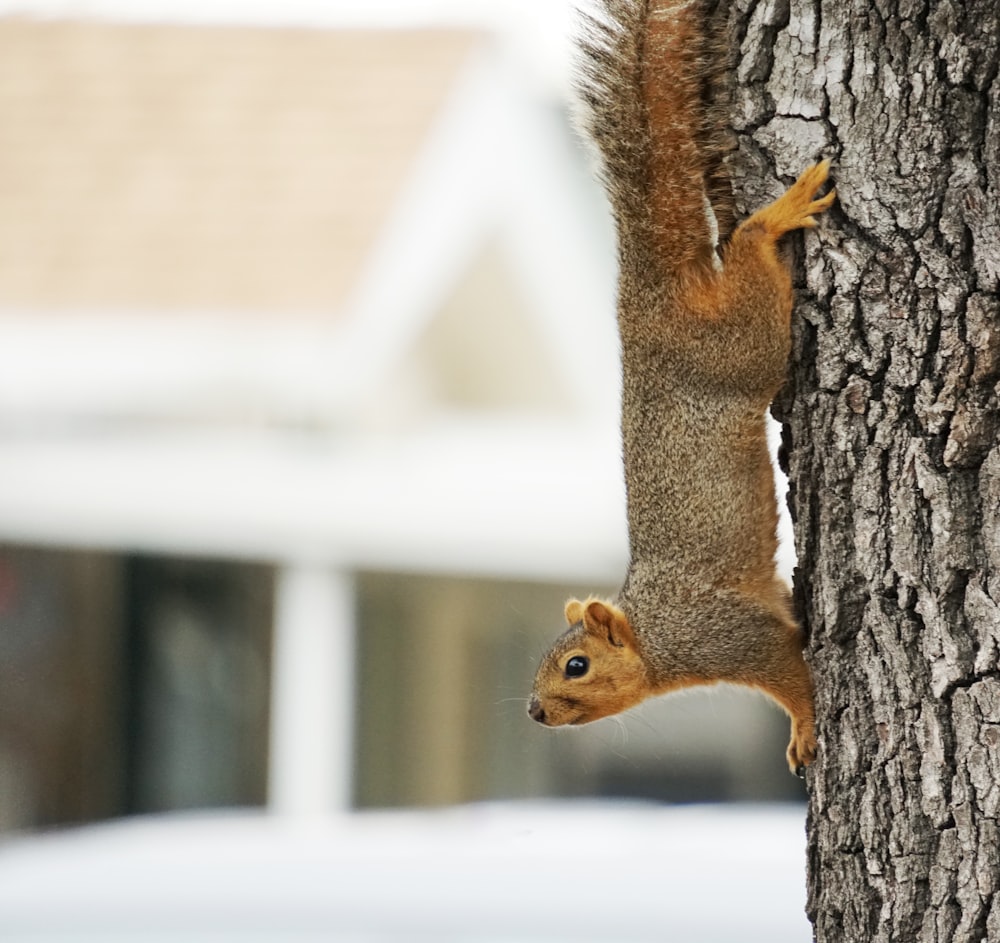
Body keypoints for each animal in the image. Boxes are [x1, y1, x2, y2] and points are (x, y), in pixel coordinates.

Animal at [528, 0, 832, 776]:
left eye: (575, 665)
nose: (533, 712)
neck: (657, 635)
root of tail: (644, 299)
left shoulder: (732, 636)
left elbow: (793, 672)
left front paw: (805, 730)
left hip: (739, 346)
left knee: (751, 252)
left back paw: (777, 214)